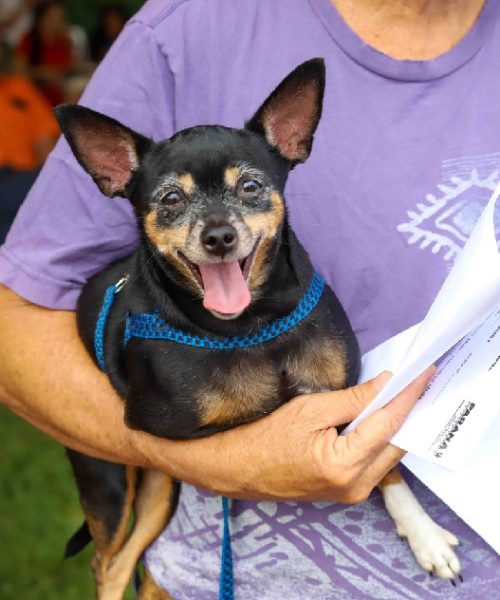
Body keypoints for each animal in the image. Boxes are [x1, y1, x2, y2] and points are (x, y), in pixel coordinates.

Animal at [54, 57, 460, 600]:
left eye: (249, 187)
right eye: (171, 199)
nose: (219, 236)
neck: (253, 325)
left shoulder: (339, 394)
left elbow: (389, 471)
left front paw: (423, 534)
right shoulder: (181, 436)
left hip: (159, 493)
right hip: (113, 482)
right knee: (109, 563)